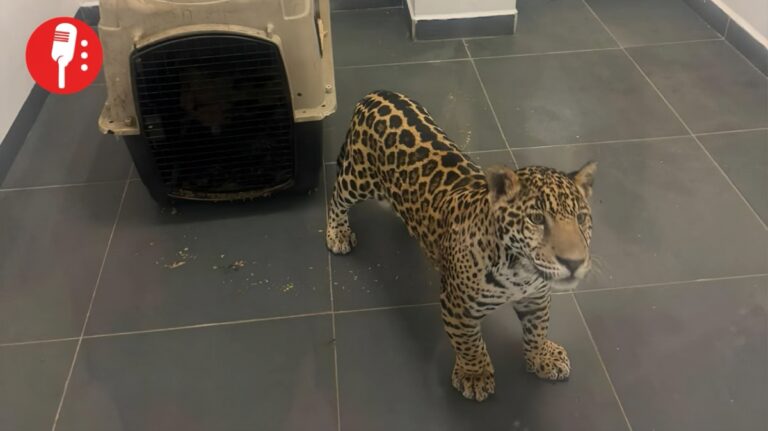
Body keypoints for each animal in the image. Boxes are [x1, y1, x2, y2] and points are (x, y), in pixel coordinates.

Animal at [326, 90, 597, 402]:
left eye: (581, 218)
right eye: (537, 219)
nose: (574, 263)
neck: (519, 272)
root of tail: (377, 94)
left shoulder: (536, 297)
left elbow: (538, 328)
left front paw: (542, 357)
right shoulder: (457, 306)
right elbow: (469, 342)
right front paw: (474, 375)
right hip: (358, 179)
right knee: (336, 196)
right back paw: (337, 232)